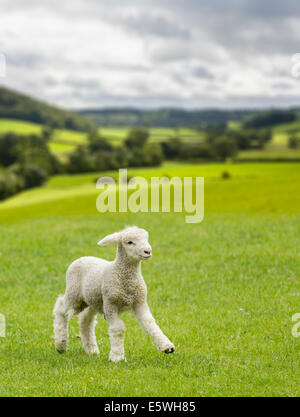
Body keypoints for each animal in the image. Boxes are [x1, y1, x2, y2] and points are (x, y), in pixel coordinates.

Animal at [53, 226, 175, 360]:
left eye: (146, 239)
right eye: (129, 242)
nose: (148, 251)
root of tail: (81, 258)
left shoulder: (139, 301)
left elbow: (150, 322)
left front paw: (166, 346)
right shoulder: (110, 304)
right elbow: (118, 329)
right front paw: (117, 356)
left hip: (93, 300)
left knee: (86, 320)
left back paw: (91, 349)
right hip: (75, 295)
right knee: (61, 309)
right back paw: (61, 344)